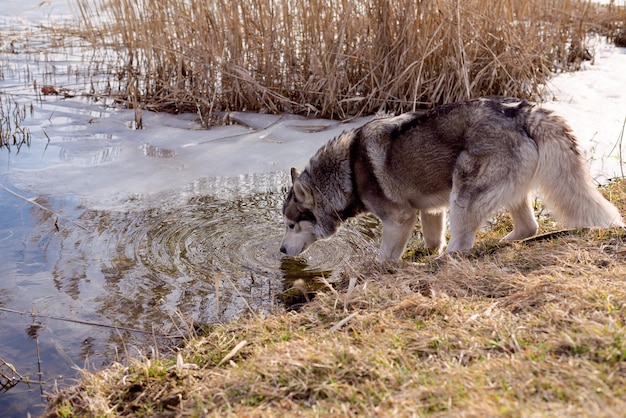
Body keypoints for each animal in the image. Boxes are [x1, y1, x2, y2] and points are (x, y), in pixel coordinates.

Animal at [280, 97, 620, 262]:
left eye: (291, 225)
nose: (281, 251)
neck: (348, 169)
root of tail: (522, 112)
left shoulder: (400, 218)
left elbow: (385, 257)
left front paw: (378, 270)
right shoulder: (431, 210)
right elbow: (433, 239)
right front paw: (429, 251)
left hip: (463, 197)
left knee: (463, 245)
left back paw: (442, 263)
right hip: (500, 195)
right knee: (529, 227)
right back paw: (502, 243)